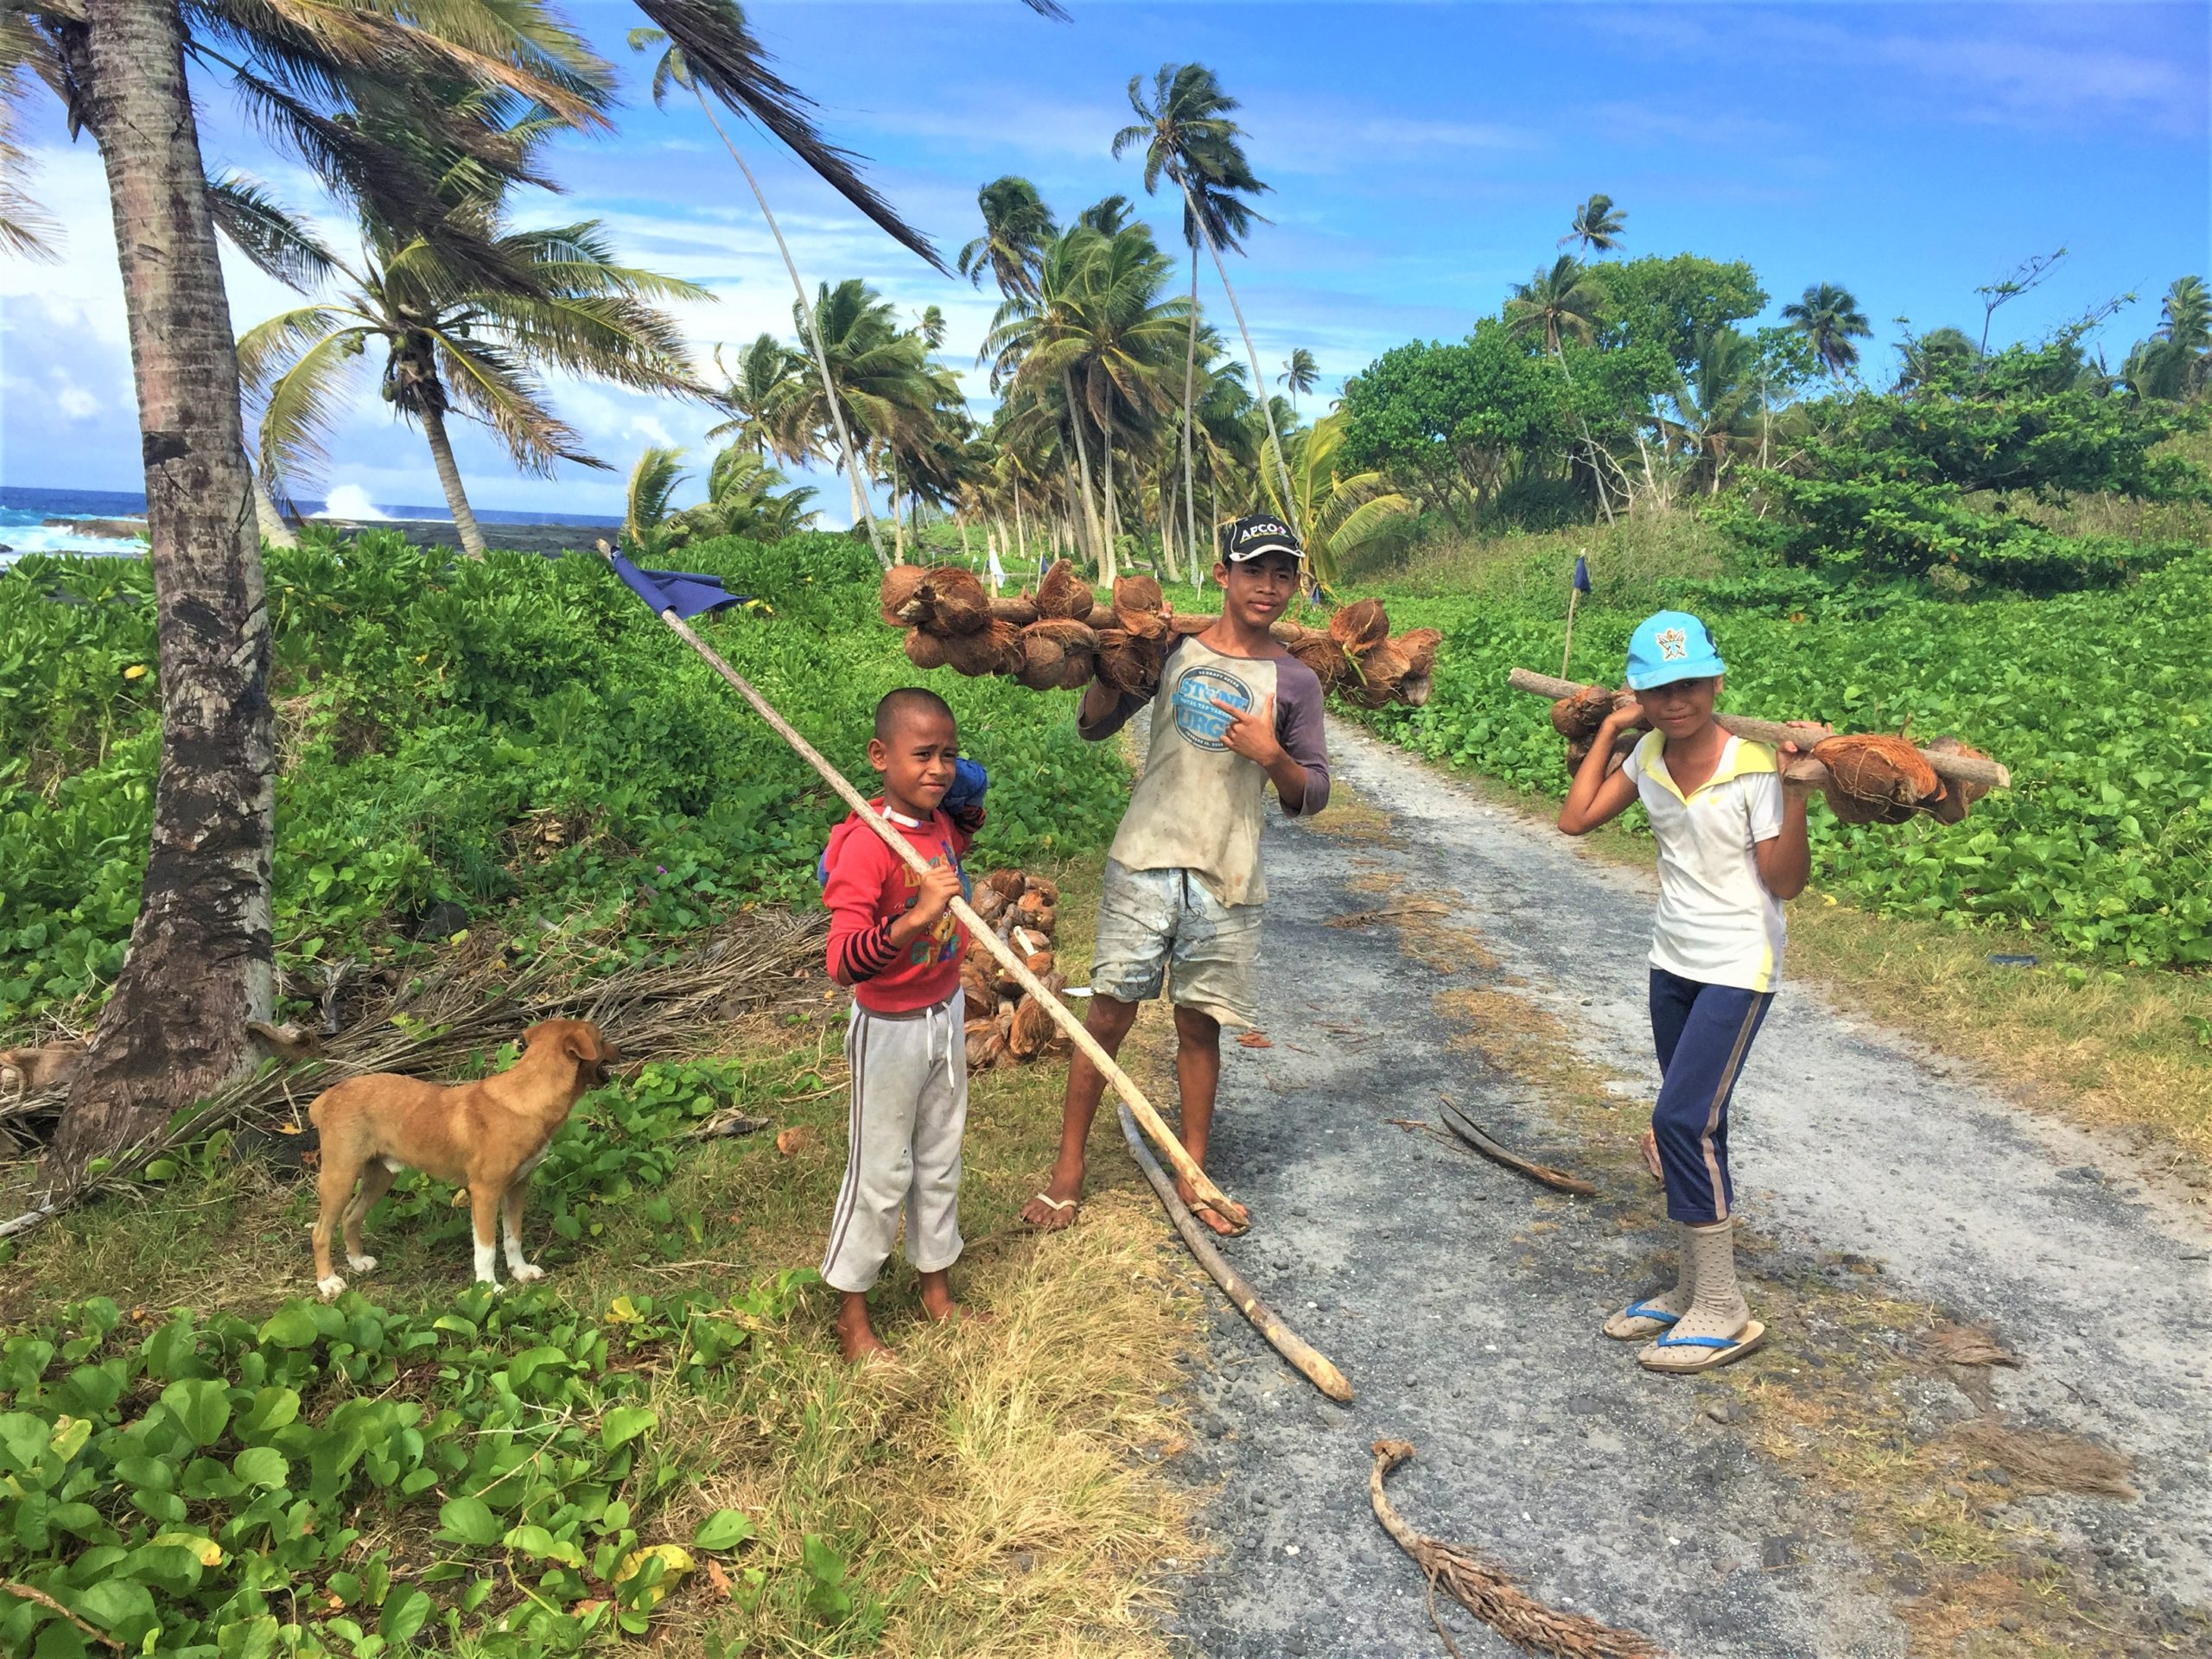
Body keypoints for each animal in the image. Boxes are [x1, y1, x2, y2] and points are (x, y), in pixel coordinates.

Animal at [307, 1021, 619, 1309]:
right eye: (602, 1039)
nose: (621, 1049)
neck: (525, 1099)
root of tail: (325, 1098)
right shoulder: (484, 1193)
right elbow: (487, 1248)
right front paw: (489, 1288)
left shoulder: (517, 1187)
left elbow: (513, 1236)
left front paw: (520, 1271)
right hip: (340, 1177)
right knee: (320, 1232)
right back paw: (328, 1282)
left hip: (380, 1177)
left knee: (351, 1216)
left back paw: (358, 1261)